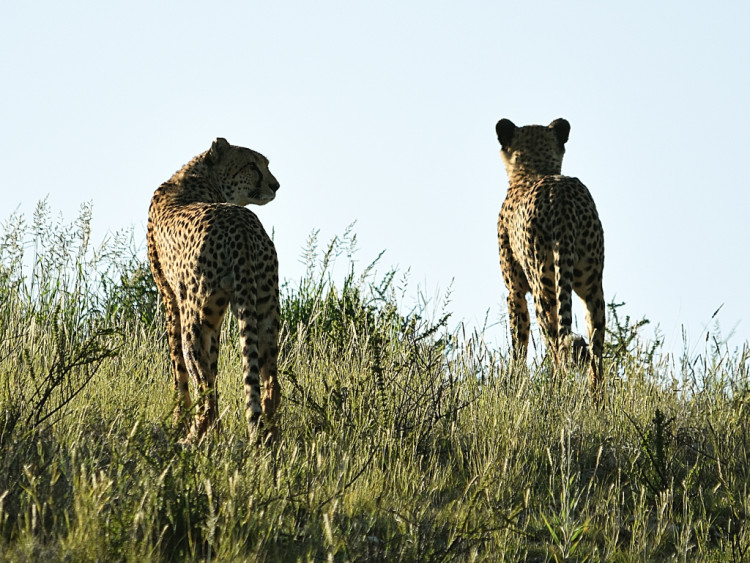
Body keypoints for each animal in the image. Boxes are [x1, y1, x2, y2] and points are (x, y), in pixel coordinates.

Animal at [148, 139, 282, 442]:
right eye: (252, 165)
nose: (276, 185)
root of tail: (241, 223)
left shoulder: (170, 300)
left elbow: (179, 370)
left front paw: (179, 421)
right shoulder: (216, 319)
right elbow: (215, 367)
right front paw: (217, 434)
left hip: (193, 318)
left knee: (202, 386)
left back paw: (190, 439)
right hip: (265, 309)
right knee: (271, 382)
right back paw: (270, 440)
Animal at [496, 115, 608, 388]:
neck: (536, 169)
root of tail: (562, 196)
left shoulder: (515, 291)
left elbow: (518, 342)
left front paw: (514, 381)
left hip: (543, 286)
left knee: (556, 344)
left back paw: (556, 388)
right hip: (592, 285)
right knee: (596, 348)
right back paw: (596, 394)